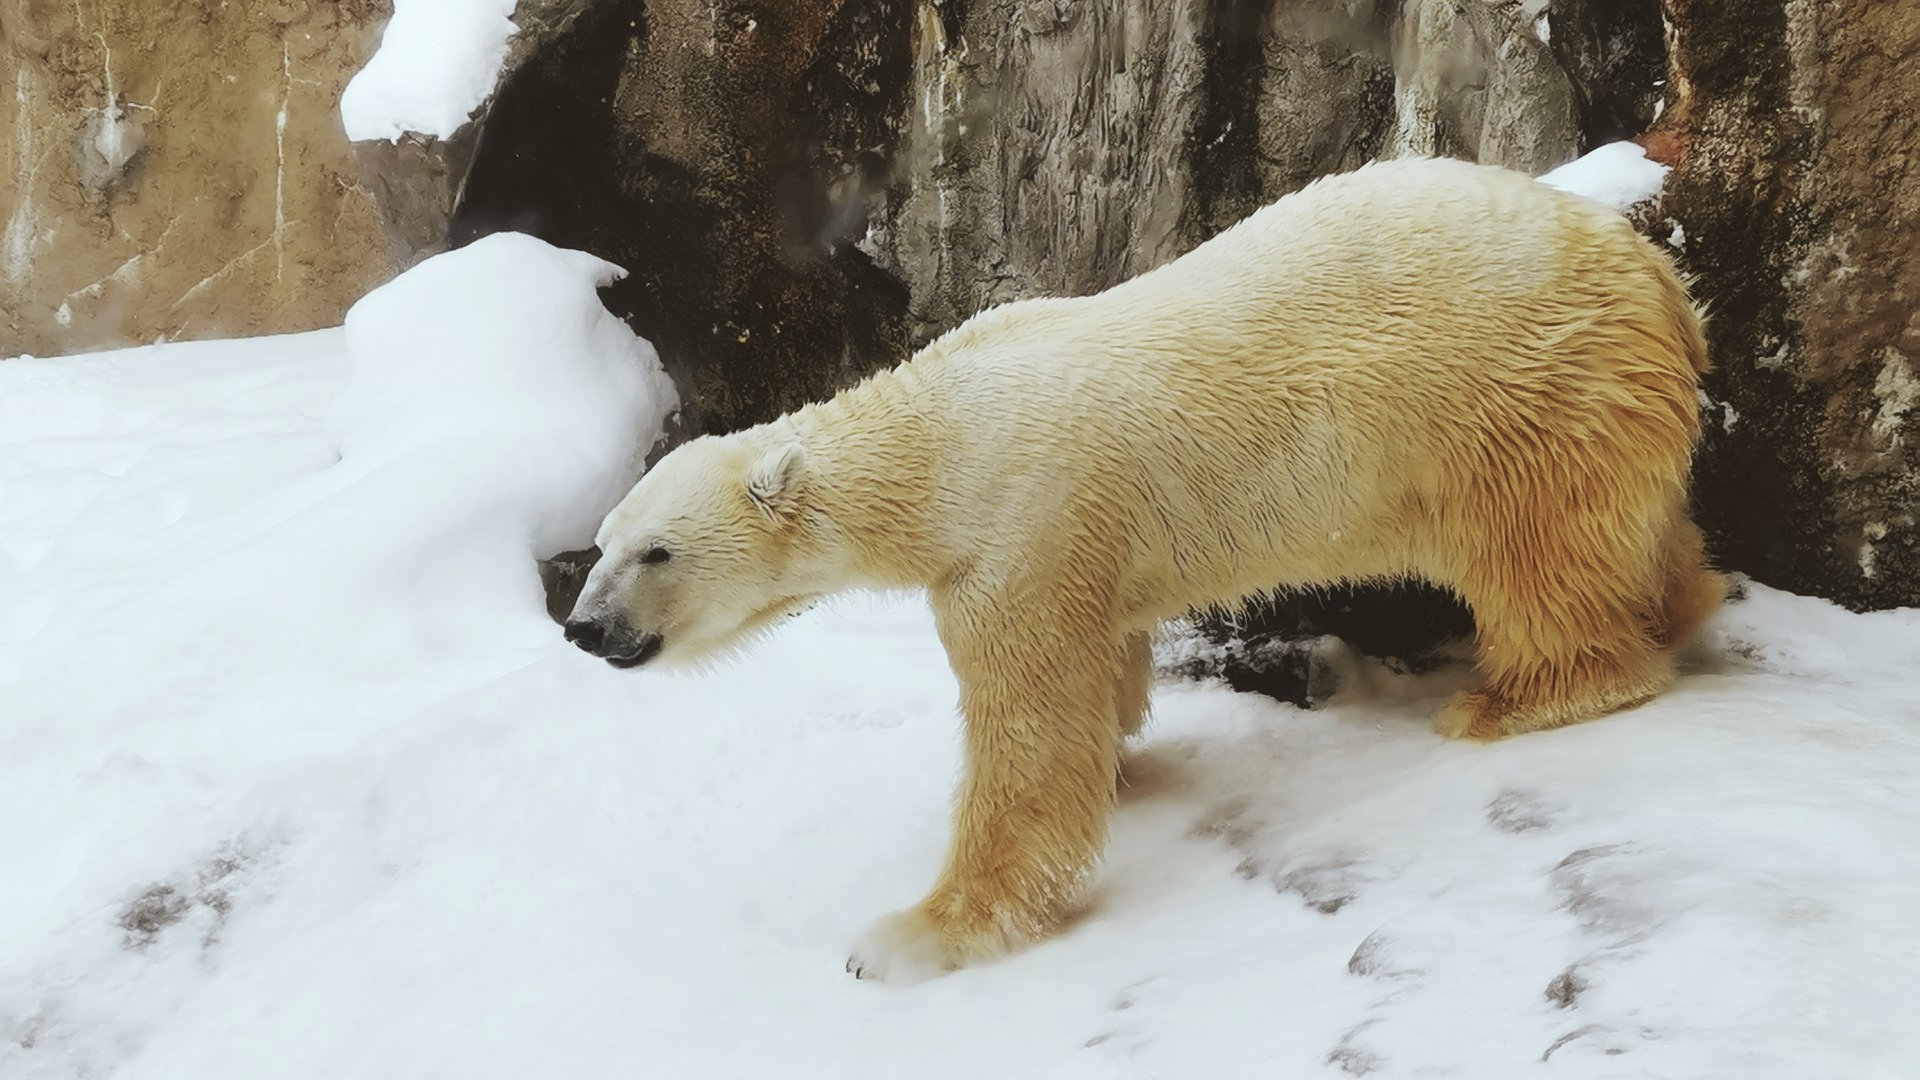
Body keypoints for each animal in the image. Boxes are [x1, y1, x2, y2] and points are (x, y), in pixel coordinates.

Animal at [560, 157, 1720, 976]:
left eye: (656, 550)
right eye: (602, 545)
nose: (583, 629)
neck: (942, 441)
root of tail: (1655, 273)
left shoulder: (1015, 531)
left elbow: (1029, 740)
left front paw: (911, 938)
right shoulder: (1071, 548)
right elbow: (1102, 673)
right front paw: (1125, 757)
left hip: (1514, 393)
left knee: (1538, 551)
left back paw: (1515, 697)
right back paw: (1680, 604)